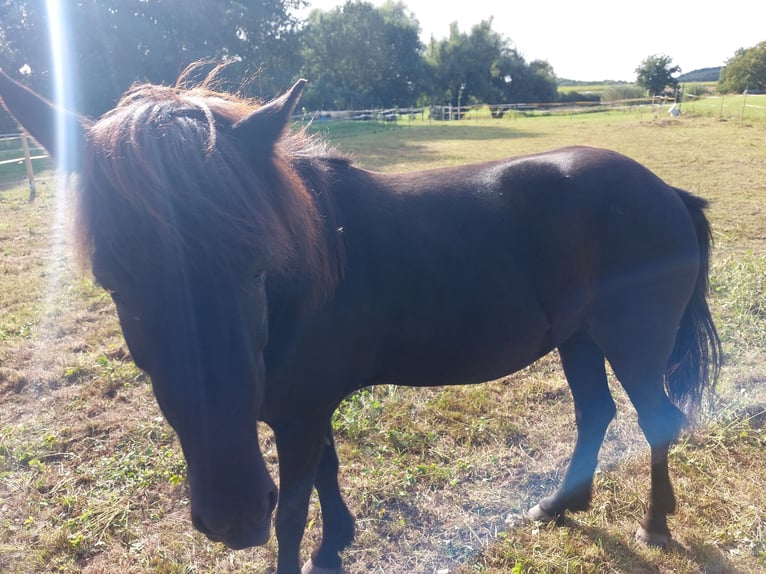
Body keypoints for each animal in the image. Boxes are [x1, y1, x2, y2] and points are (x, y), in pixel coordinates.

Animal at [0, 69, 721, 574]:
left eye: (256, 267)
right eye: (114, 280)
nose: (233, 515)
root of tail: (665, 192)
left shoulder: (298, 416)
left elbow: (293, 511)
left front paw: (313, 547)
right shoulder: (307, 410)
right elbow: (328, 469)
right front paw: (338, 541)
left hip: (632, 344)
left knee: (655, 419)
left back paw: (655, 524)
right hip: (577, 340)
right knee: (596, 412)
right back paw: (561, 505)